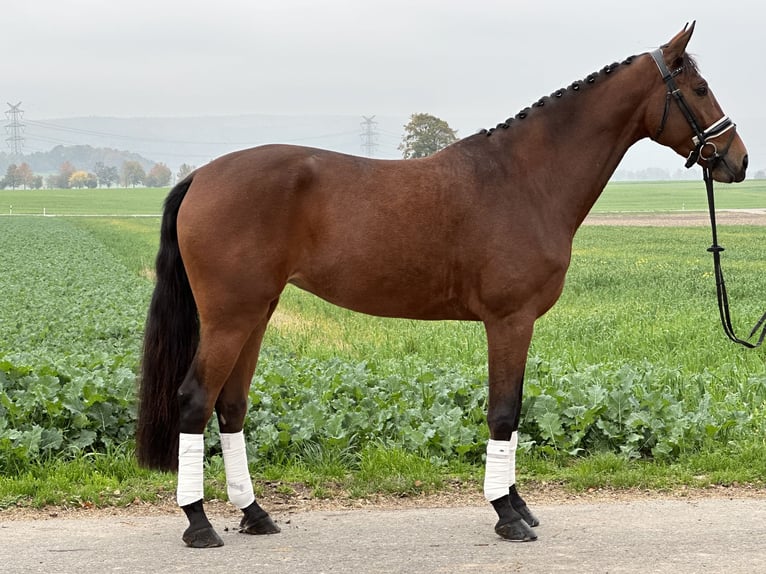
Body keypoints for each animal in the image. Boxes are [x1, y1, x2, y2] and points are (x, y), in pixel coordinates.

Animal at [135, 23, 748, 548]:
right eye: (699, 88)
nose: (738, 160)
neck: (524, 180)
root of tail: (201, 177)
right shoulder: (509, 320)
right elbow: (504, 413)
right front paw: (507, 516)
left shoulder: (514, 324)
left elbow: (513, 411)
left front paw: (518, 506)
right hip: (229, 317)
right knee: (195, 401)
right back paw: (198, 523)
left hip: (256, 313)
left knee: (231, 406)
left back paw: (255, 514)